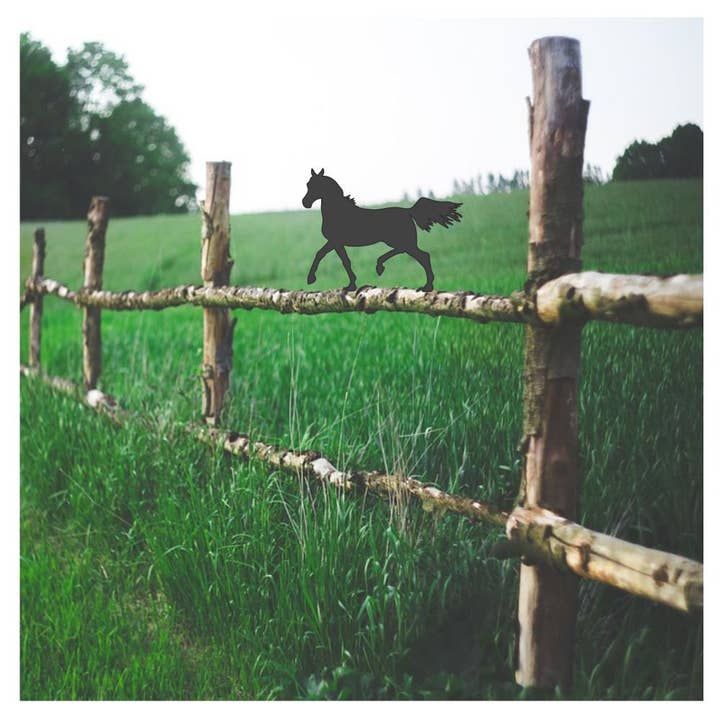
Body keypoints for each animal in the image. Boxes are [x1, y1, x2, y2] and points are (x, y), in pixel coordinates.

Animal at [301, 168, 462, 292]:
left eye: (316, 185)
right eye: (308, 184)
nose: (305, 203)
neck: (338, 212)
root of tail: (408, 211)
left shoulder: (336, 241)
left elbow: (341, 260)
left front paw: (348, 285)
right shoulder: (334, 242)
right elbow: (324, 255)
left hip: (401, 241)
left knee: (421, 255)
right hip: (401, 242)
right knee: (418, 254)